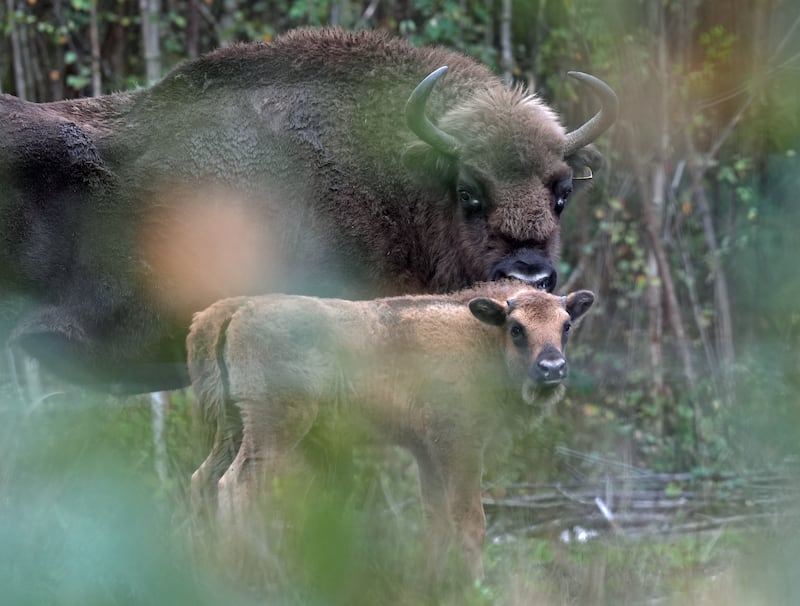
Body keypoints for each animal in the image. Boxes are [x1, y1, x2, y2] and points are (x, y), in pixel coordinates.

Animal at [189, 282, 592, 580]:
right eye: (517, 328)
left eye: (566, 325)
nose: (552, 367)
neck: (482, 339)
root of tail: (233, 310)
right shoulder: (460, 445)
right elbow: (470, 521)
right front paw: (475, 585)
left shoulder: (427, 453)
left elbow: (436, 521)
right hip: (274, 426)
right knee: (236, 486)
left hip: (232, 427)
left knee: (203, 478)